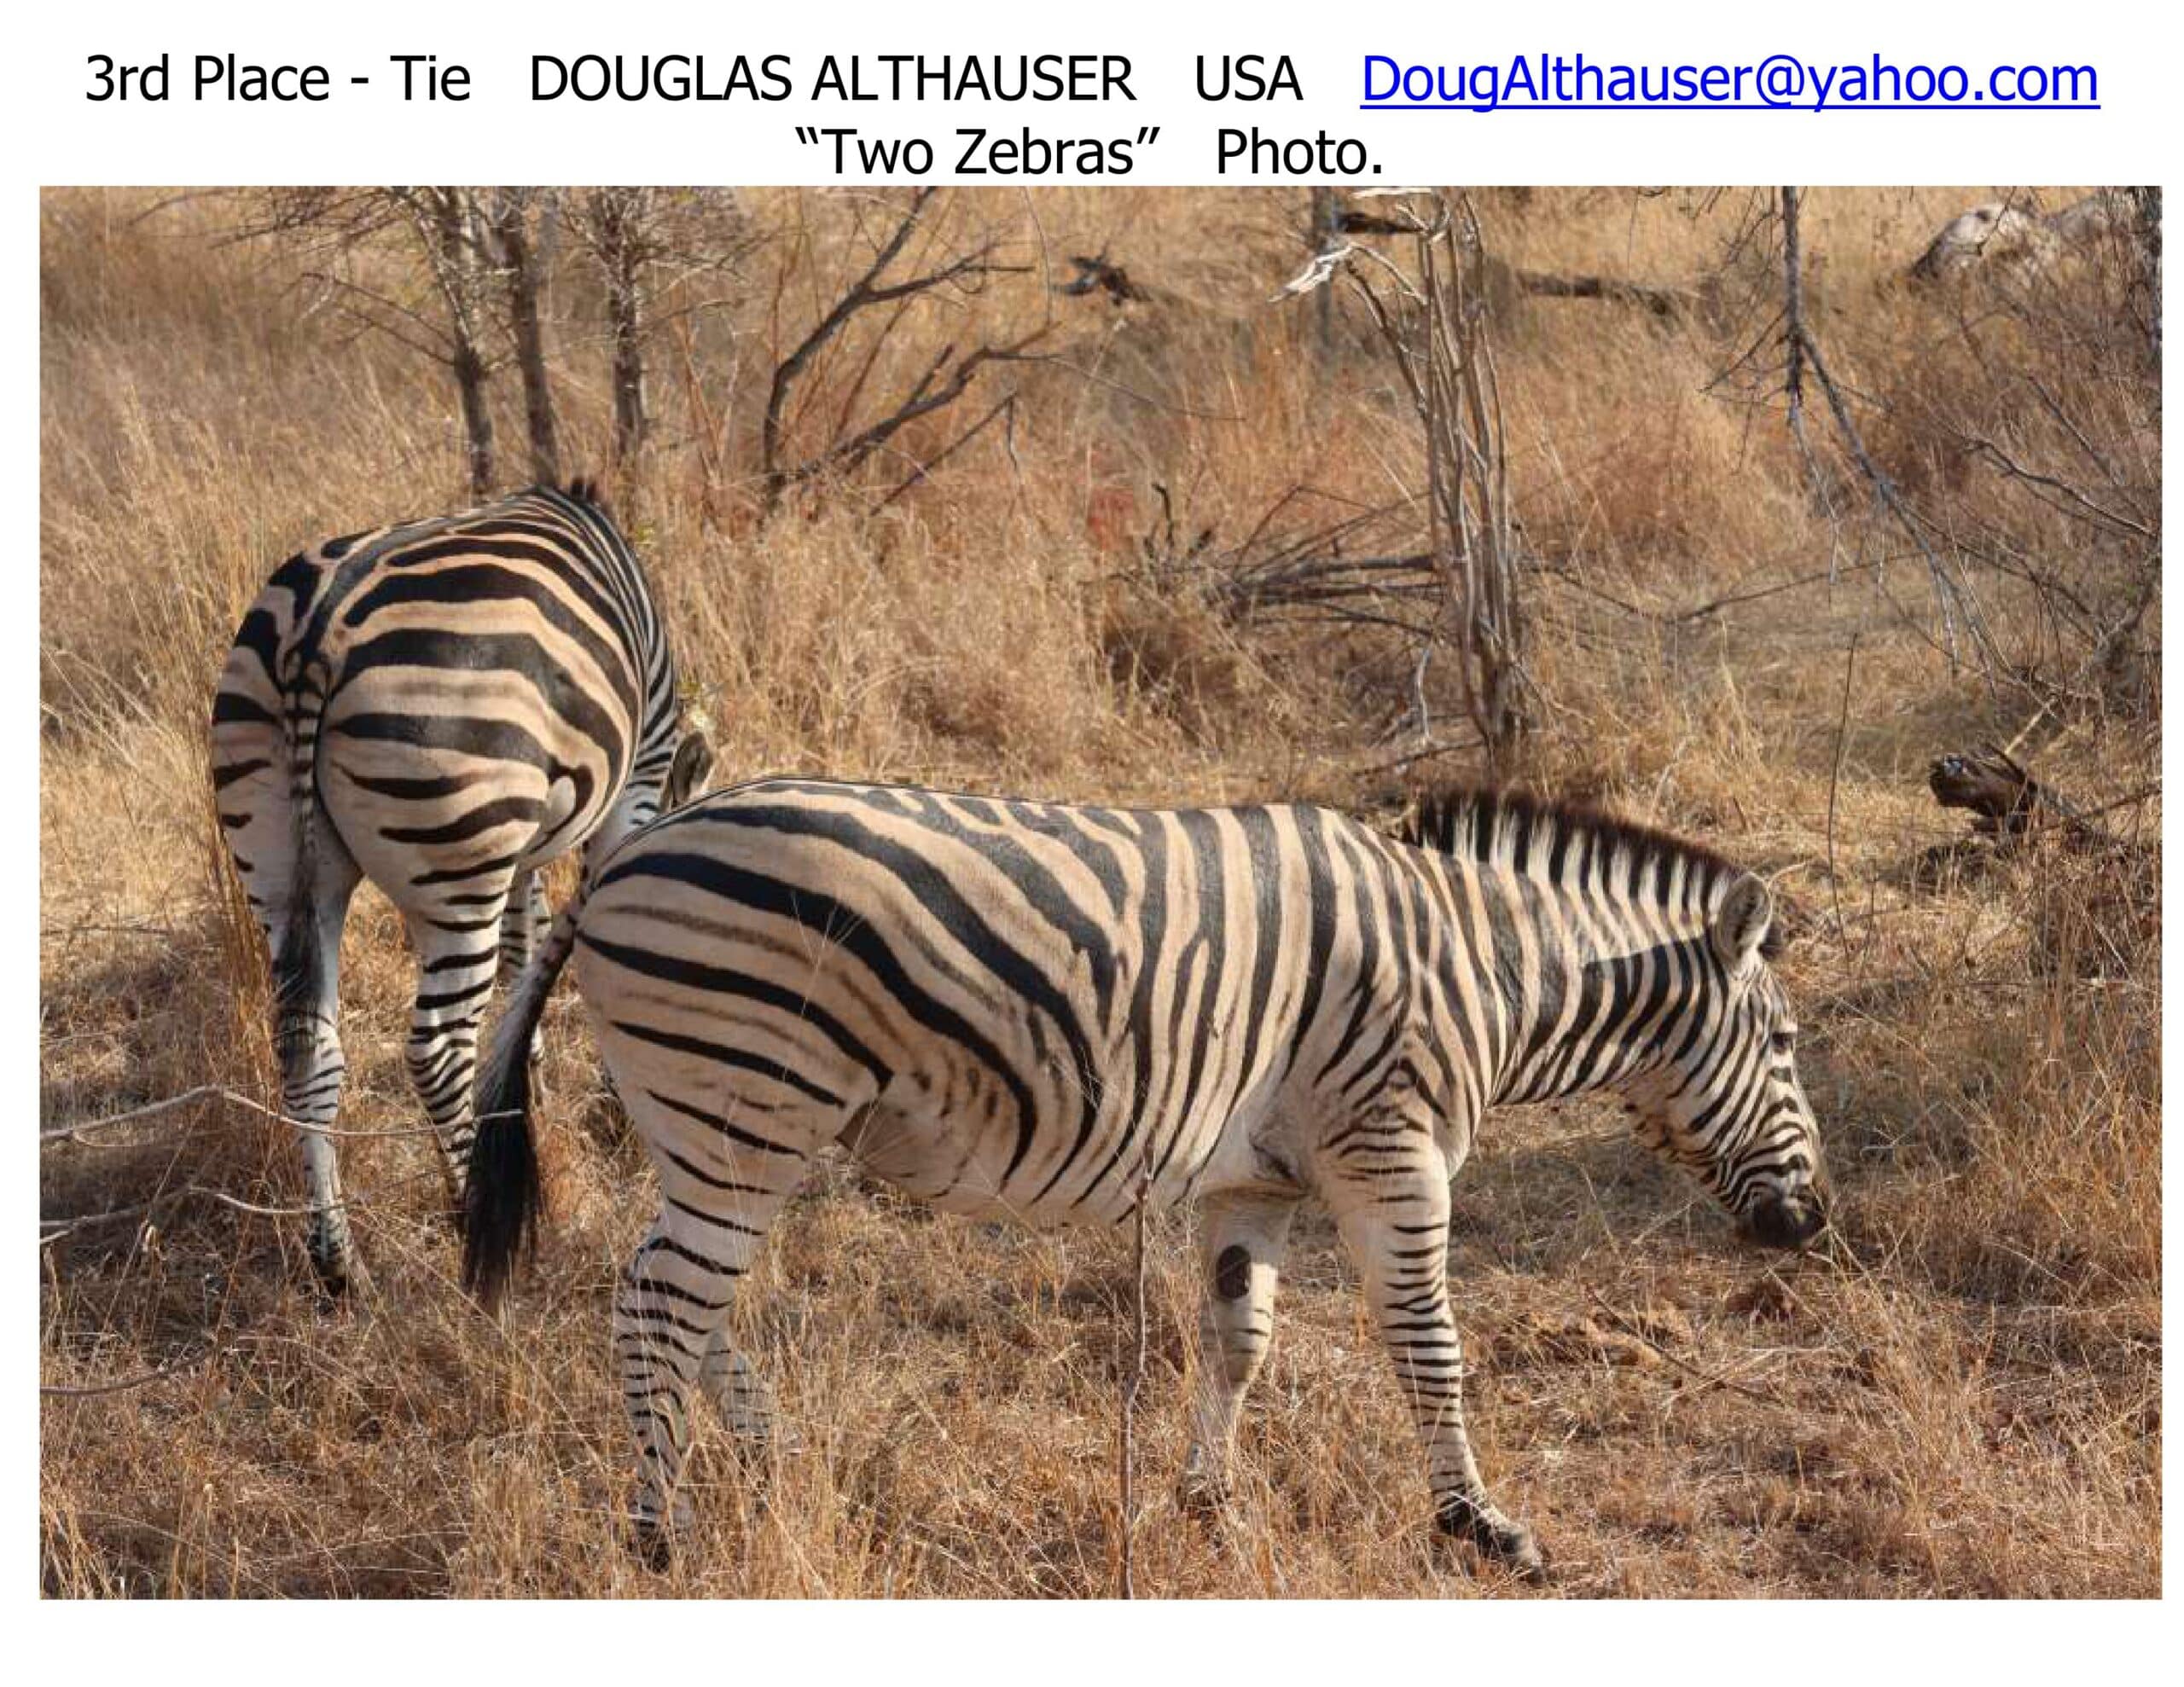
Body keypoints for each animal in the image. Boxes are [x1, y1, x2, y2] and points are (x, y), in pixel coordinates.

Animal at [210, 480, 712, 1296]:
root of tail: (315, 633)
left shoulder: (527, 837)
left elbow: (525, 944)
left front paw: (528, 1076)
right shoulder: (631, 787)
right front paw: (610, 1107)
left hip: (283, 855)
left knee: (307, 1047)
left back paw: (338, 1264)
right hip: (458, 858)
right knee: (438, 1049)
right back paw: (473, 1223)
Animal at [462, 777, 1829, 1580]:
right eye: (1784, 1042)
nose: (1811, 1226)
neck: (1475, 966)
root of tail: (617, 863)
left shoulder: (1255, 1181)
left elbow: (1237, 1339)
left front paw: (1207, 1505)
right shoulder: (1389, 1149)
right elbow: (1430, 1347)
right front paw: (1478, 1526)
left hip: (707, 1130)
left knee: (683, 1304)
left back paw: (775, 1458)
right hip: (744, 1110)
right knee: (659, 1308)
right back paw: (662, 1535)